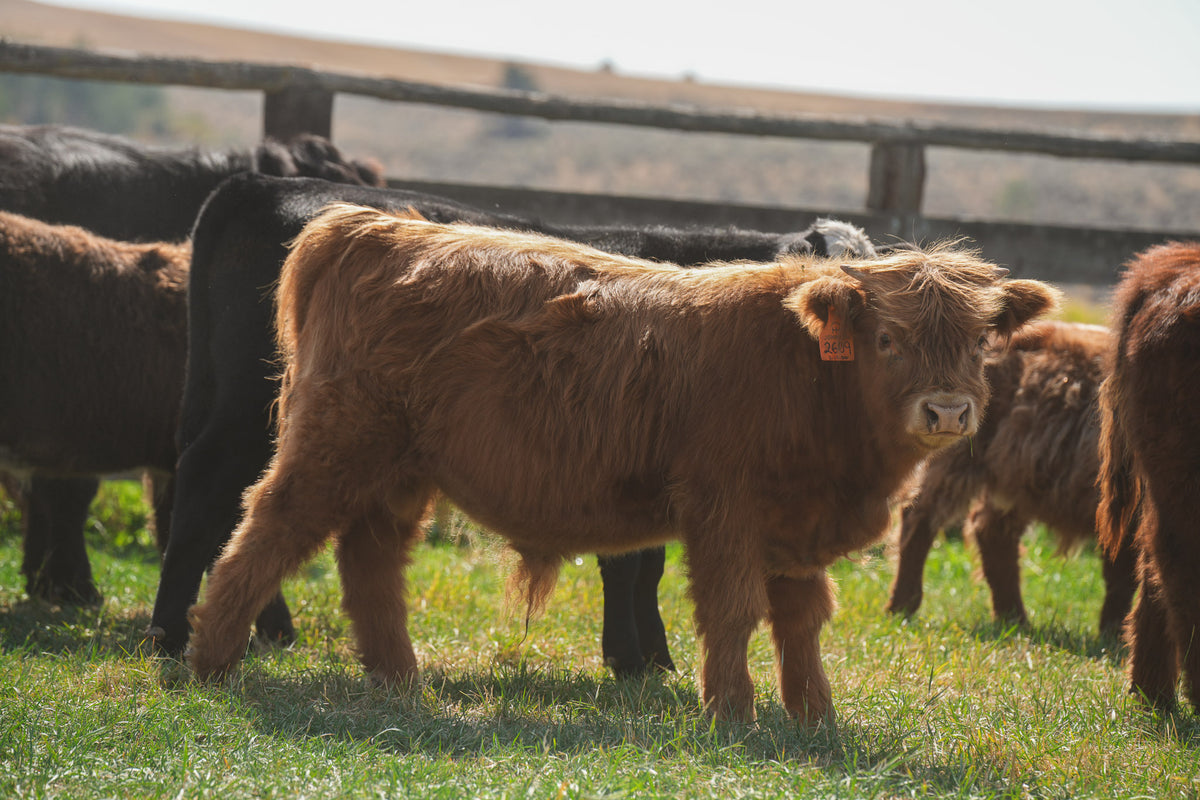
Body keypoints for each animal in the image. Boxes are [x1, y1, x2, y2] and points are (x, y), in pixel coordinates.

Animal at [147, 171, 877, 678]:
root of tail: (263, 183)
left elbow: (645, 559)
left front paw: (645, 657)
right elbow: (633, 564)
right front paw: (634, 658)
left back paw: (267, 629)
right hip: (257, 410)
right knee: (213, 496)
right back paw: (170, 636)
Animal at [186, 204, 1058, 724]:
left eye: (979, 340)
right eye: (888, 338)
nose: (947, 411)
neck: (807, 376)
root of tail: (374, 224)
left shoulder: (795, 526)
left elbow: (801, 619)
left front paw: (815, 716)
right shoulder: (723, 511)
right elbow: (733, 612)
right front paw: (732, 713)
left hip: (400, 469)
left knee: (371, 560)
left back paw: (400, 681)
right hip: (336, 443)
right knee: (264, 531)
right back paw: (205, 661)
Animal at [886, 320, 1138, 634]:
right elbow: (1123, 573)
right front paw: (1114, 630)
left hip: (1014, 474)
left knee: (992, 532)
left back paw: (1013, 618)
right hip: (958, 453)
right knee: (919, 514)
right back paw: (903, 604)